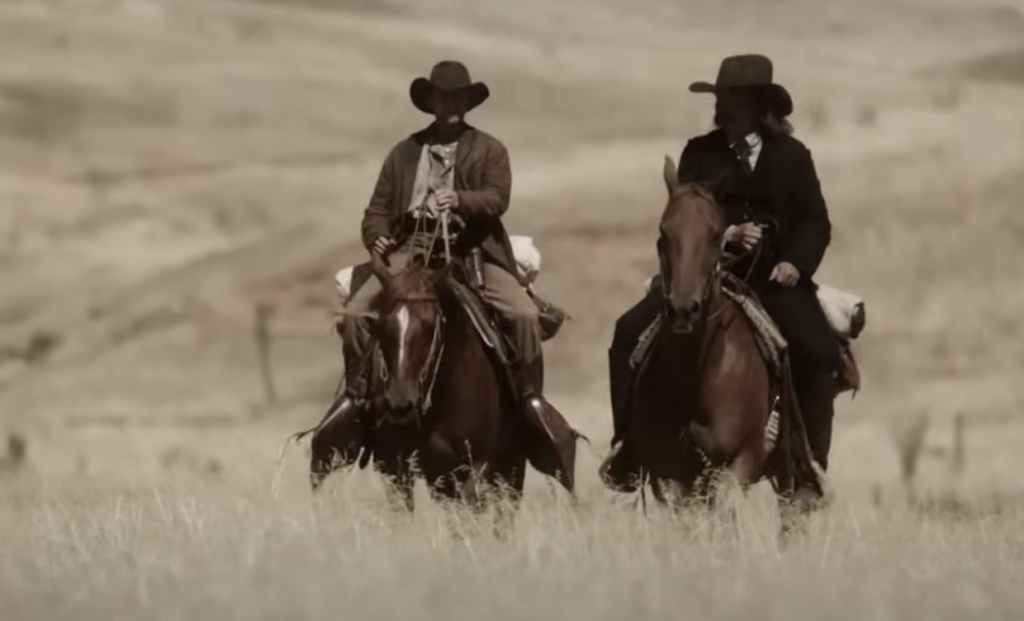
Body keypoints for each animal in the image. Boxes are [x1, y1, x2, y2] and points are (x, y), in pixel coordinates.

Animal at [323, 254, 581, 520]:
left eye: (429, 325)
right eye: (382, 325)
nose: (400, 404)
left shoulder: (476, 465)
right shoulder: (396, 466)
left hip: (511, 466)